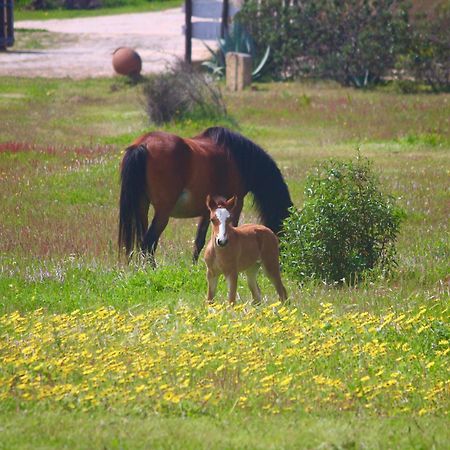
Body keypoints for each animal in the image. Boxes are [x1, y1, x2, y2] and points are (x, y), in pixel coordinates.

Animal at [118, 125, 292, 264]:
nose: (282, 260)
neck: (238, 158)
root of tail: (143, 145)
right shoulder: (236, 205)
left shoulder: (208, 209)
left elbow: (199, 241)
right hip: (162, 213)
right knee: (148, 244)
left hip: (142, 206)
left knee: (142, 242)